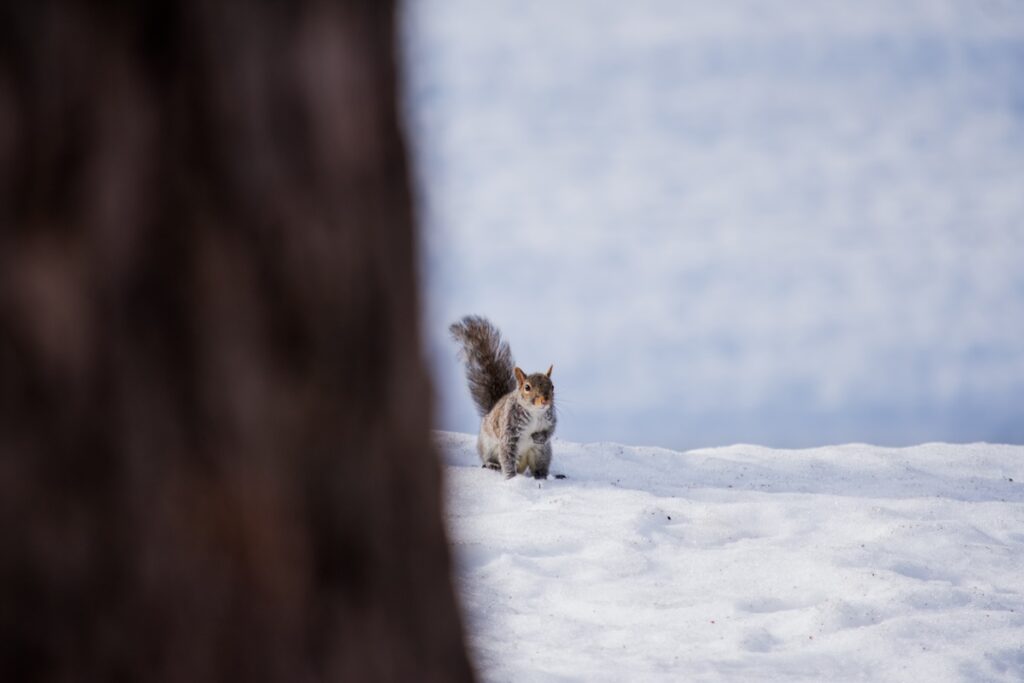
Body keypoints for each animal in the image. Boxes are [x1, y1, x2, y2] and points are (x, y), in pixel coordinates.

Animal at [450, 315, 556, 479]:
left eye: (552, 386)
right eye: (527, 387)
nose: (545, 400)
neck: (535, 412)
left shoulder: (550, 418)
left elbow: (550, 430)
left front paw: (539, 437)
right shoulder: (509, 431)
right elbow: (507, 454)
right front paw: (511, 478)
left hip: (541, 452)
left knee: (539, 464)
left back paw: (541, 475)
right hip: (488, 446)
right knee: (494, 458)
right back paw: (493, 465)